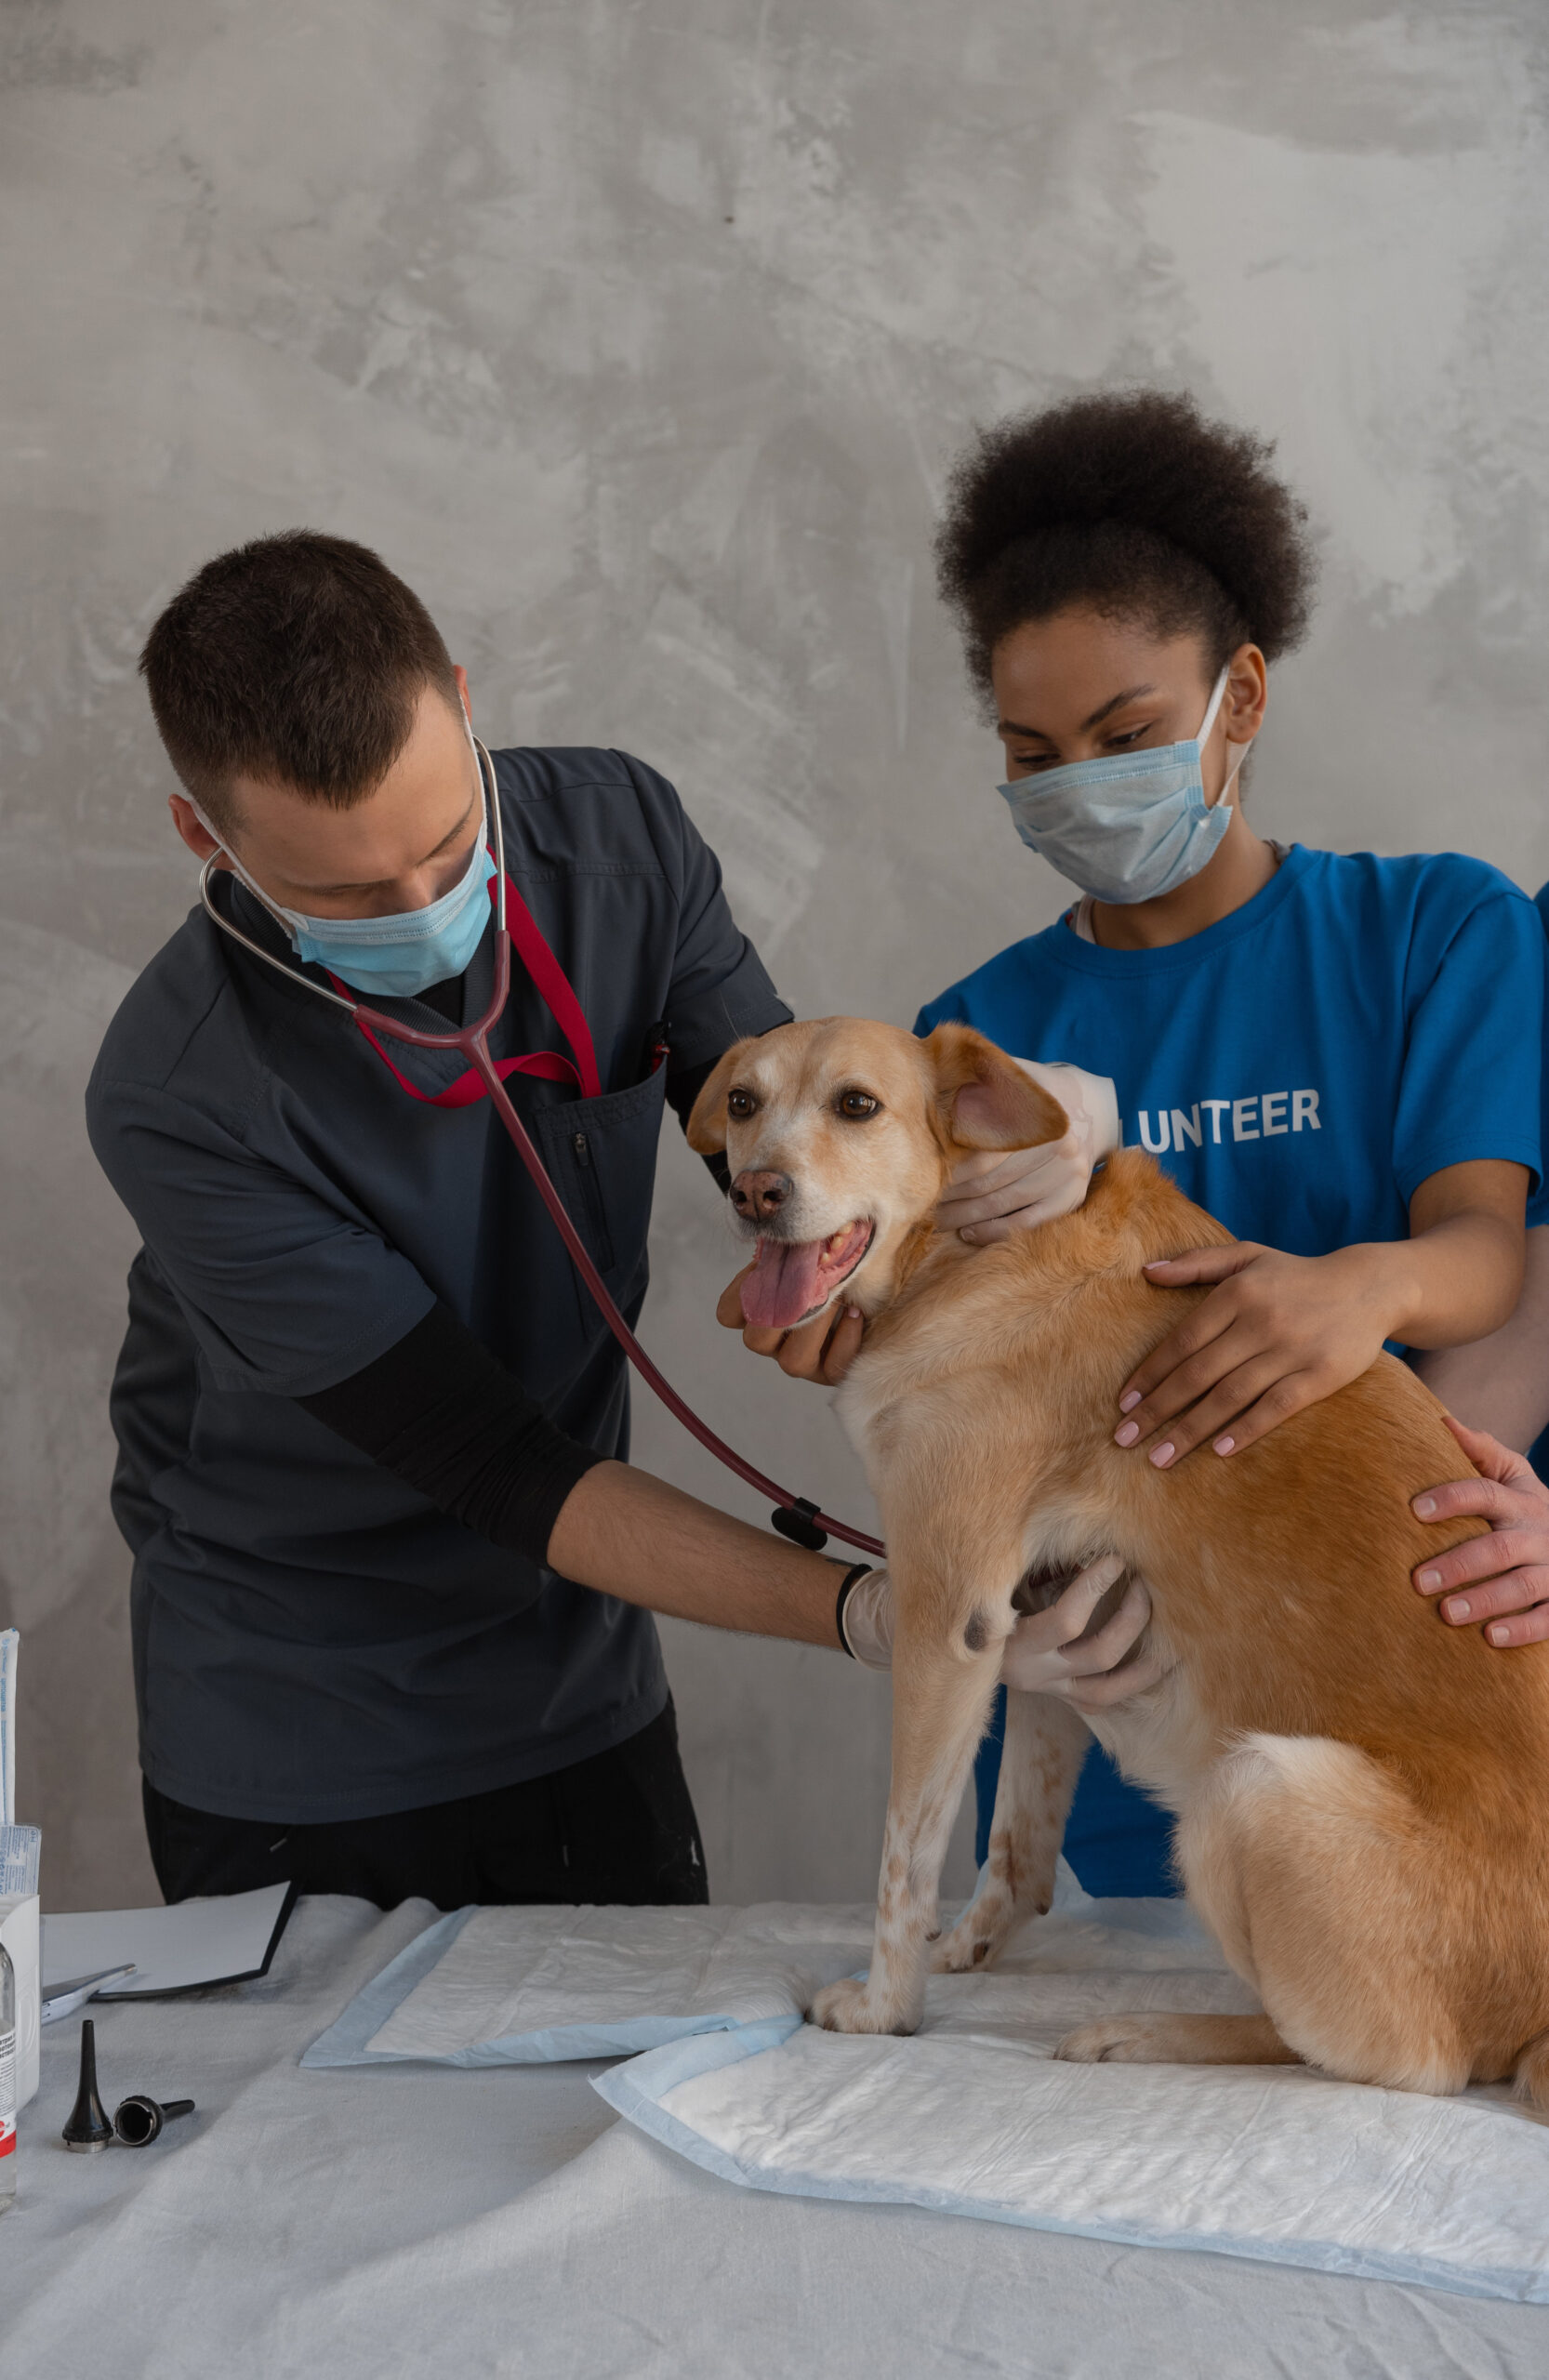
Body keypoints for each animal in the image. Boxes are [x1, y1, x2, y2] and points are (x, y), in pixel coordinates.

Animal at [695, 1013, 1549, 2094]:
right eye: (742, 1102)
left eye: (857, 1104)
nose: (754, 1192)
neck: (966, 1252)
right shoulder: (1038, 1620)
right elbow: (1014, 1838)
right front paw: (966, 1946)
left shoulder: (946, 1616)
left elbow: (904, 1854)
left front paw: (886, 2008)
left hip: (1254, 1786)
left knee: (1397, 2060)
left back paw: (1152, 2032)